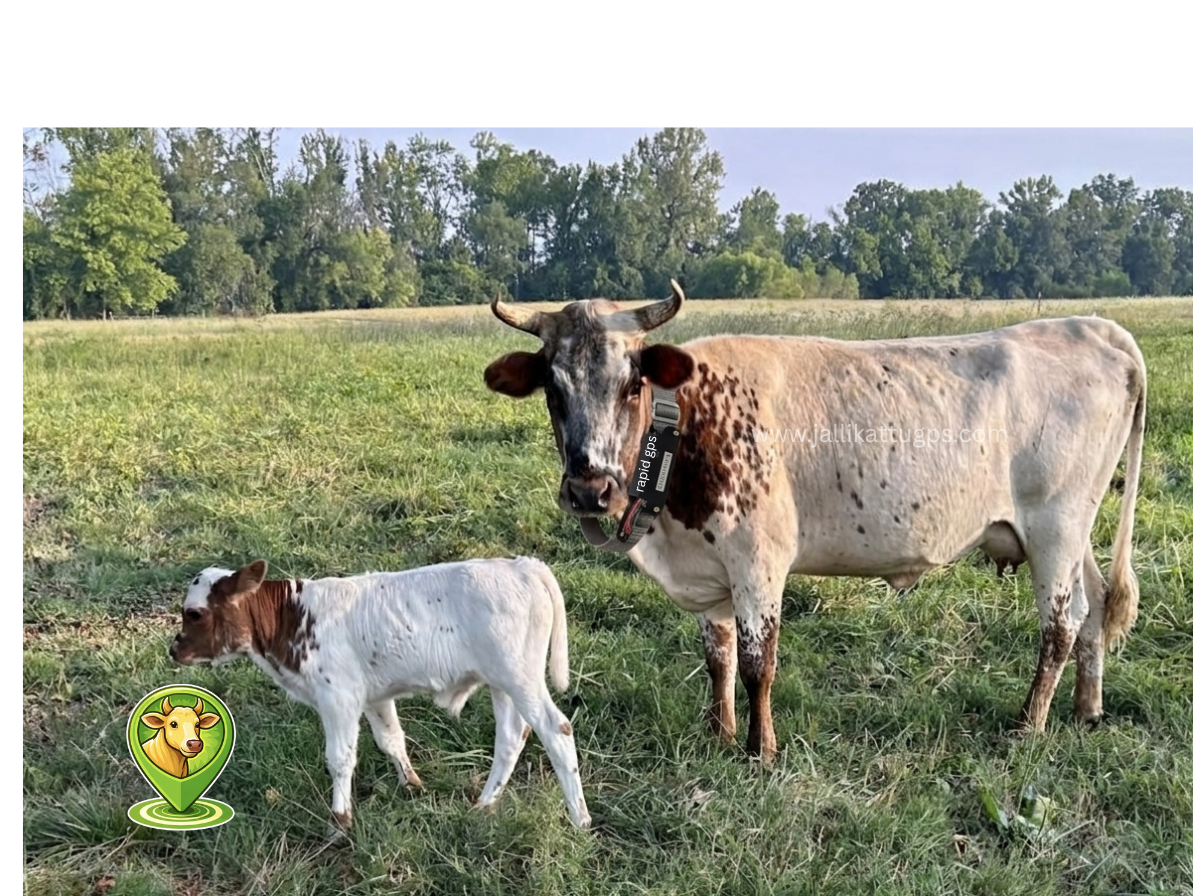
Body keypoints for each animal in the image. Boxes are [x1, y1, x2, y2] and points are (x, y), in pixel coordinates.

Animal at [169, 557, 590, 830]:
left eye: (195, 613)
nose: (174, 650)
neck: (294, 618)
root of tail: (521, 565)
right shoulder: (373, 697)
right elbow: (391, 740)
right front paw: (412, 785)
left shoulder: (338, 698)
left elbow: (340, 759)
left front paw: (340, 822)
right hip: (502, 684)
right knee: (511, 736)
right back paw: (485, 805)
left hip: (519, 676)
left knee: (556, 730)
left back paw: (579, 818)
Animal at [483, 280, 1146, 763]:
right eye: (553, 390)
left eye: (630, 384)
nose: (590, 488)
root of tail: (1091, 325)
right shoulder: (712, 568)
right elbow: (719, 656)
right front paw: (720, 732)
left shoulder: (758, 560)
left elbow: (757, 662)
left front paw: (760, 750)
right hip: (1075, 531)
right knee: (1094, 607)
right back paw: (1087, 710)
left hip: (1055, 526)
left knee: (1062, 624)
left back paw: (1029, 725)